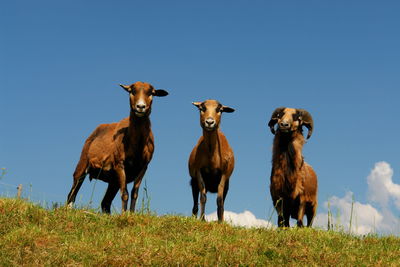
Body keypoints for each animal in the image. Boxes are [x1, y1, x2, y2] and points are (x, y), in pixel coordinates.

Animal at [67, 81, 167, 214]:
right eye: (131, 91)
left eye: (152, 93)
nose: (140, 107)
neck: (137, 146)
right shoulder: (119, 164)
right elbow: (125, 194)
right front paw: (124, 214)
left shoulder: (143, 167)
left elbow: (134, 194)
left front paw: (131, 213)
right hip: (82, 164)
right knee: (72, 193)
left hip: (113, 180)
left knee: (105, 202)